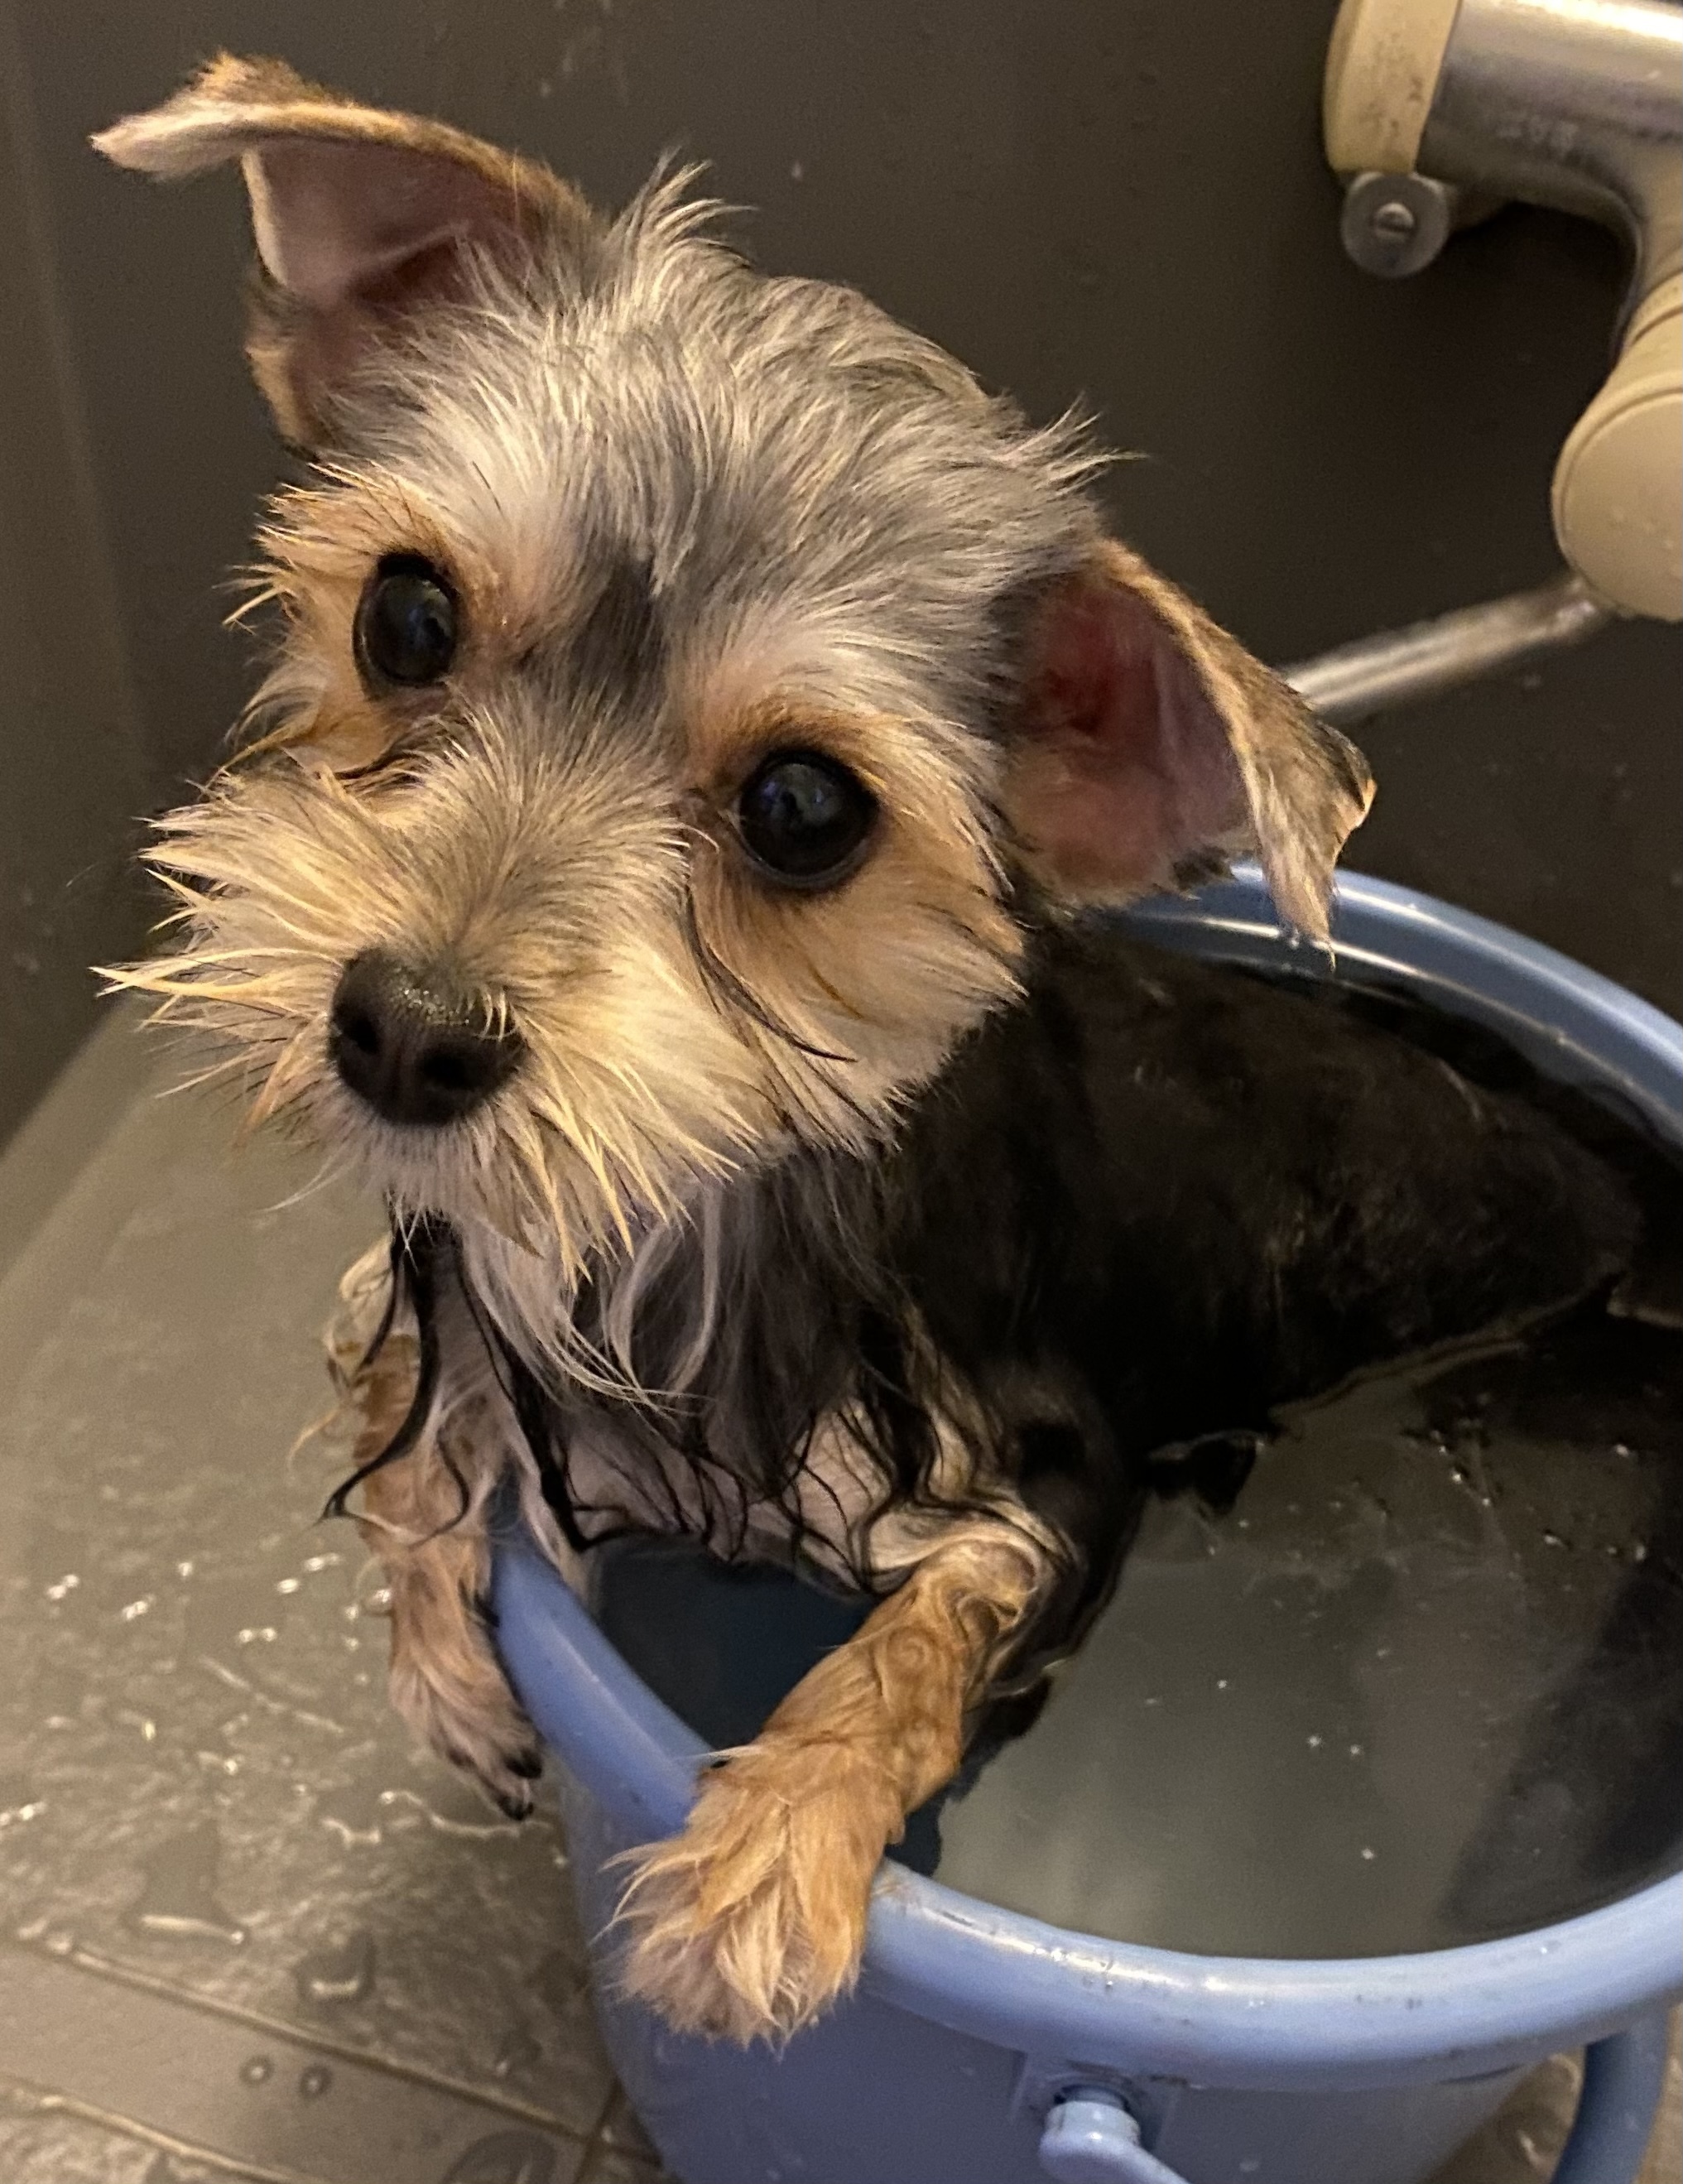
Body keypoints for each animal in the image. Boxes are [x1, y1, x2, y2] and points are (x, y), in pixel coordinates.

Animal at [94, 59, 1638, 2045]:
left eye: (805, 809)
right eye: (405, 616)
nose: (403, 1032)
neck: (694, 1226)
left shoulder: (1052, 1473)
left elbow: (926, 1630)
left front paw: (763, 1862)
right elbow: (393, 1370)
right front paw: (443, 1648)